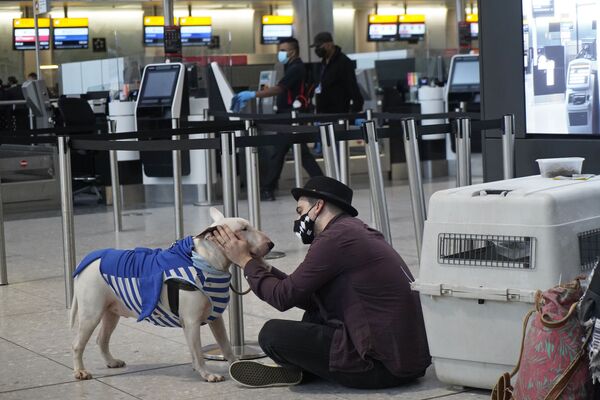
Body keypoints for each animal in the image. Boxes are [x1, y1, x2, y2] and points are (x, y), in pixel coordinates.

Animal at [70, 208, 274, 382]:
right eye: (243, 229)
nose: (271, 244)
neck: (205, 262)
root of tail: (88, 261)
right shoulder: (191, 321)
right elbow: (198, 352)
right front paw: (207, 374)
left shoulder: (215, 319)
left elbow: (225, 345)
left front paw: (235, 365)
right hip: (91, 314)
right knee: (78, 344)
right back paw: (80, 371)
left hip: (111, 312)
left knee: (101, 339)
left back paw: (111, 362)